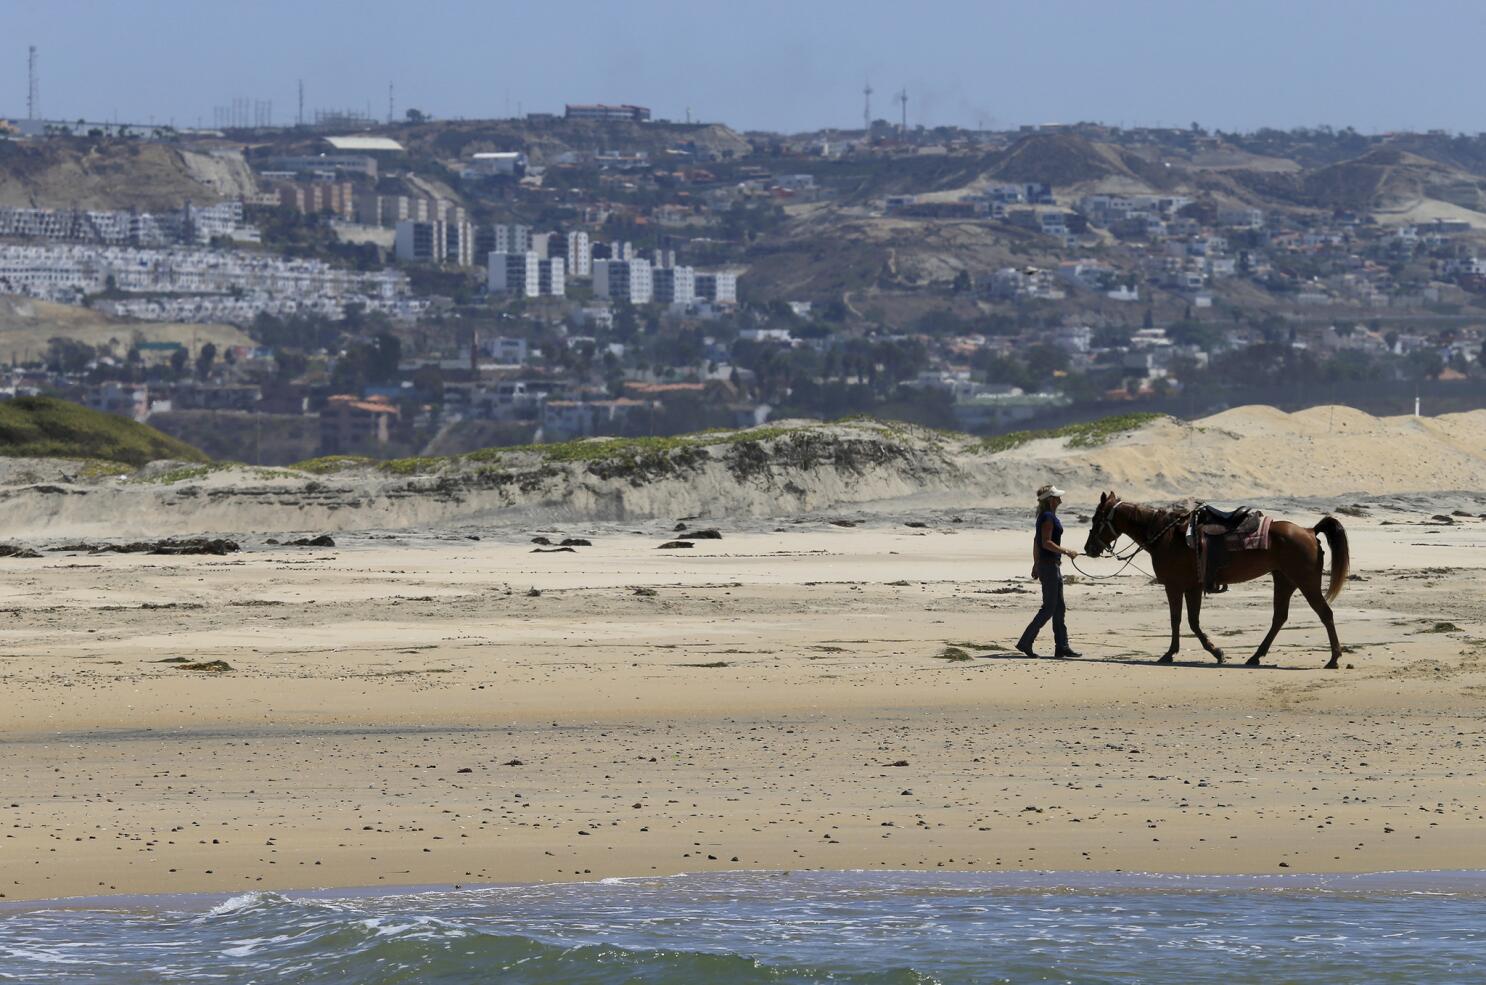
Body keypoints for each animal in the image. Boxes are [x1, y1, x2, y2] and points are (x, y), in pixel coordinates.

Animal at [1087, 493, 1355, 671]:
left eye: (1096, 519)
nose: (1088, 548)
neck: (1167, 536)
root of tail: (1309, 531)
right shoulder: (1192, 587)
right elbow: (1191, 621)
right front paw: (1214, 652)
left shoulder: (1175, 586)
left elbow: (1180, 620)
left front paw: (1177, 653)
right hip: (1284, 580)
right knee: (1279, 617)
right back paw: (1256, 657)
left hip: (1305, 581)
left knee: (1325, 614)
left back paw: (1333, 659)